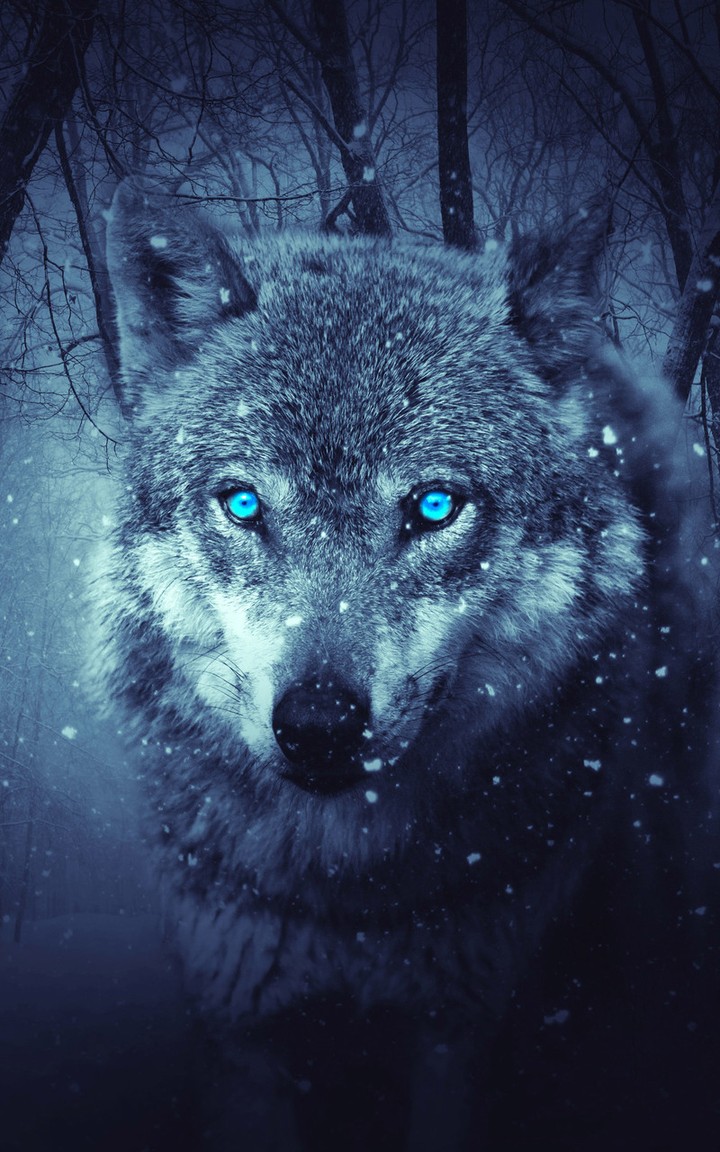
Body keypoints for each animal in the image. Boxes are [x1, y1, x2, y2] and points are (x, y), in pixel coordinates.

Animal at [96, 179, 719, 1150]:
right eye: (244, 504)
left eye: (432, 507)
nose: (318, 724)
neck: (349, 896)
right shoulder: (243, 1032)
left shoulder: (460, 1030)